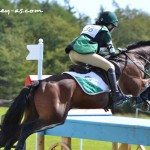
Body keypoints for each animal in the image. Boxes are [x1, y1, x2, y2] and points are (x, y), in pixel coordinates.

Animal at [0, 40, 150, 149]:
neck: (134, 58)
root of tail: (39, 83)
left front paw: (143, 102)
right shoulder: (136, 85)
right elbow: (147, 85)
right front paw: (143, 101)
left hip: (36, 115)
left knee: (18, 131)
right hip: (54, 116)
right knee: (25, 129)